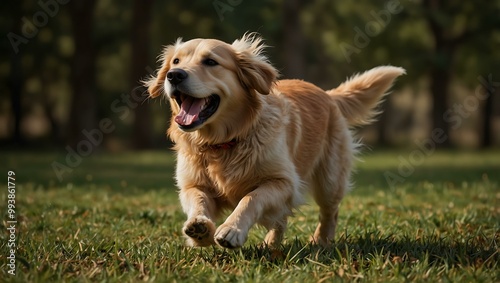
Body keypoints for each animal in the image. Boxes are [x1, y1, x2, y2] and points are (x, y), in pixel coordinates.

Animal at [146, 34, 406, 250]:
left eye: (210, 62)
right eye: (176, 61)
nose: (174, 75)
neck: (224, 142)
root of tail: (328, 94)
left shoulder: (284, 182)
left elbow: (251, 199)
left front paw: (232, 229)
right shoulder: (192, 184)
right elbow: (198, 200)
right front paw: (199, 228)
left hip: (330, 180)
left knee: (329, 213)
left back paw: (321, 241)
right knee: (282, 219)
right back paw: (271, 245)